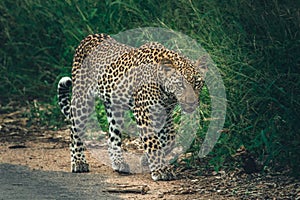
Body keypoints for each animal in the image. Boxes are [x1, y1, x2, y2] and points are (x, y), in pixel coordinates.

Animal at [57, 33, 206, 180]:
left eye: (197, 84)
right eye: (180, 84)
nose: (192, 102)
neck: (167, 95)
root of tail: (87, 38)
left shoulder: (165, 114)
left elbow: (169, 139)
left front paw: (147, 159)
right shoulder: (144, 113)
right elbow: (153, 141)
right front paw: (161, 170)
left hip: (115, 107)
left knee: (113, 136)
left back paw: (119, 163)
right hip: (82, 99)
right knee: (75, 131)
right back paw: (79, 162)